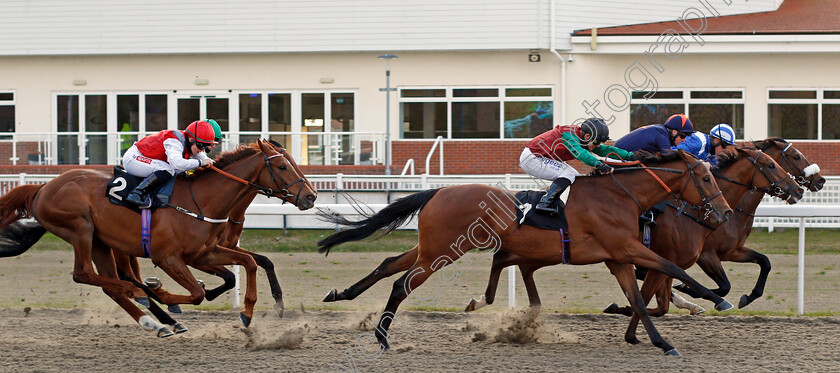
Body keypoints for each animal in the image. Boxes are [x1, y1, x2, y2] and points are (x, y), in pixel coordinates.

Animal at [0, 138, 316, 336]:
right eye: (282, 166)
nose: (311, 196)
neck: (201, 201)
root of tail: (42, 188)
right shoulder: (169, 258)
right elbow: (199, 292)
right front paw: (166, 294)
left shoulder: (205, 252)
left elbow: (249, 264)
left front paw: (251, 311)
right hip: (81, 229)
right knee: (86, 274)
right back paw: (146, 296)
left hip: (102, 242)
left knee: (111, 284)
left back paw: (157, 321)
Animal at [318, 150, 732, 356]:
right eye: (706, 177)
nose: (725, 213)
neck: (620, 196)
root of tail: (438, 191)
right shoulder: (626, 248)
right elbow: (676, 270)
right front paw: (715, 299)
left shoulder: (619, 259)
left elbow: (640, 301)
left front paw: (662, 342)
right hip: (442, 252)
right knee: (402, 285)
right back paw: (381, 337)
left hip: (429, 248)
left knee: (389, 265)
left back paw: (341, 294)